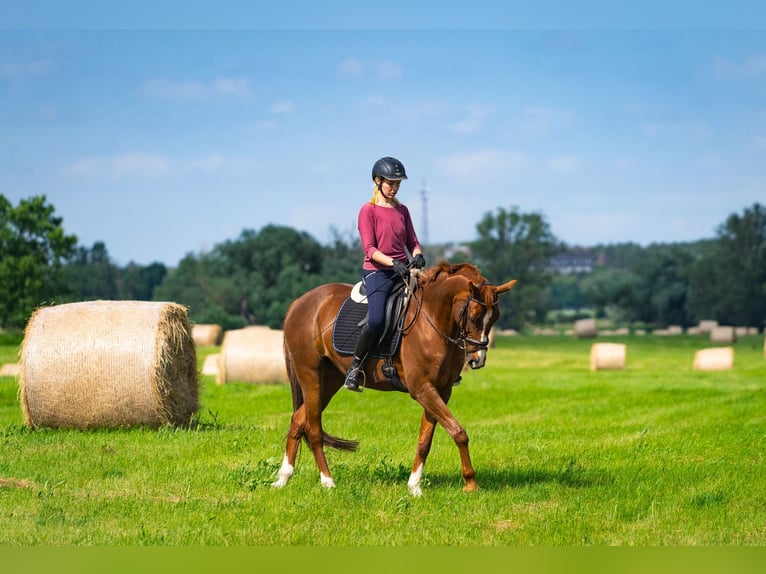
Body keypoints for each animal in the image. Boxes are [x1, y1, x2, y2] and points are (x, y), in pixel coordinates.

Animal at [272, 264, 520, 498]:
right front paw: (470, 483)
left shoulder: (440, 390)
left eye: (495, 317)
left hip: (330, 381)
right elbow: (458, 432)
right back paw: (327, 482)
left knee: (298, 420)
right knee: (313, 428)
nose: (478, 360)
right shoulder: (421, 388)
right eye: (474, 316)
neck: (433, 320)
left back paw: (283, 478)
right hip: (311, 377)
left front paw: (414, 486)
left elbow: (425, 440)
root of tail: (299, 303)